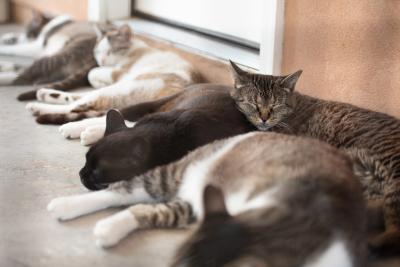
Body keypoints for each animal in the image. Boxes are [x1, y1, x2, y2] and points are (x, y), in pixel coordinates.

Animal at [46, 132, 366, 267]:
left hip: (192, 205)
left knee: (145, 209)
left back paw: (110, 229)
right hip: (172, 174)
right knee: (120, 190)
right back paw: (65, 205)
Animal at [76, 84, 255, 191]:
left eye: (97, 172)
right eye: (85, 160)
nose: (80, 173)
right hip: (156, 104)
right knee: (120, 112)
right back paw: (78, 128)